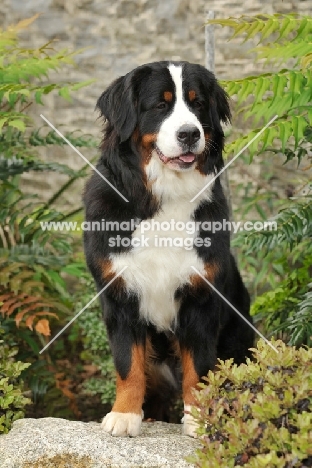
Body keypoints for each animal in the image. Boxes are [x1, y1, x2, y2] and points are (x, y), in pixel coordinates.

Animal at [83, 60, 254, 436]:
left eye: (197, 103)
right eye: (160, 105)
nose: (189, 134)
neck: (163, 197)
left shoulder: (200, 299)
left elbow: (199, 369)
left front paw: (200, 419)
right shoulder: (120, 296)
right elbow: (127, 363)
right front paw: (124, 415)